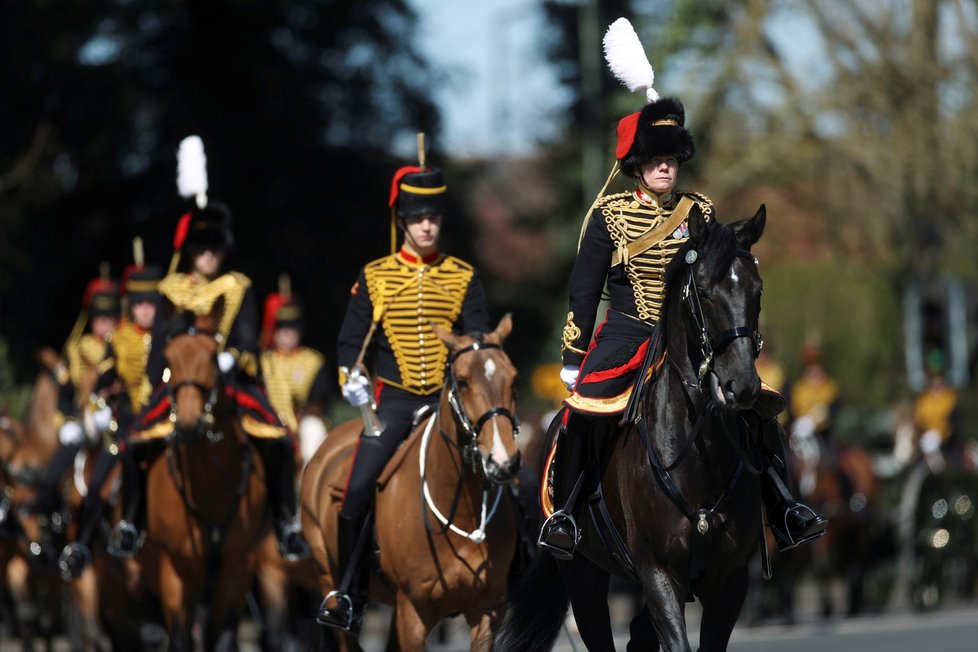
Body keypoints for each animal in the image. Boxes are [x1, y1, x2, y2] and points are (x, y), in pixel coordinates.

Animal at [137, 306, 266, 652]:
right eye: (168, 359)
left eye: (211, 356)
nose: (189, 424)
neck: (209, 487)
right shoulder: (174, 572)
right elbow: (180, 639)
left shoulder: (236, 568)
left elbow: (221, 638)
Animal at [302, 314, 524, 648]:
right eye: (462, 381)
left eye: (513, 378)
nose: (502, 460)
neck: (460, 506)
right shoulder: (413, 613)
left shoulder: (487, 611)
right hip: (329, 578)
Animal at [500, 206, 772, 648]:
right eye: (704, 292)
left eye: (757, 291)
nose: (742, 385)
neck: (698, 448)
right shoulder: (656, 572)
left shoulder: (729, 582)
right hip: (583, 577)